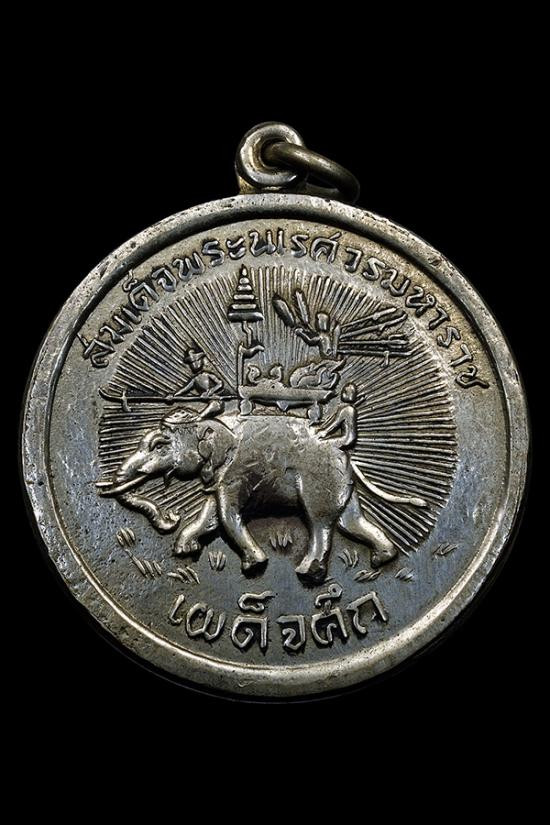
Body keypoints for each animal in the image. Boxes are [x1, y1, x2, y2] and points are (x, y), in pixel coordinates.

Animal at [99, 408, 402, 584]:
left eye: (159, 446)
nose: (170, 517)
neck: (212, 423)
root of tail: (339, 444)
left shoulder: (237, 469)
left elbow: (227, 515)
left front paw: (255, 564)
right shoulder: (221, 475)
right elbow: (211, 515)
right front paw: (185, 549)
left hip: (319, 479)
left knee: (320, 523)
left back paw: (308, 572)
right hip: (339, 481)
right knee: (348, 522)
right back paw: (382, 558)